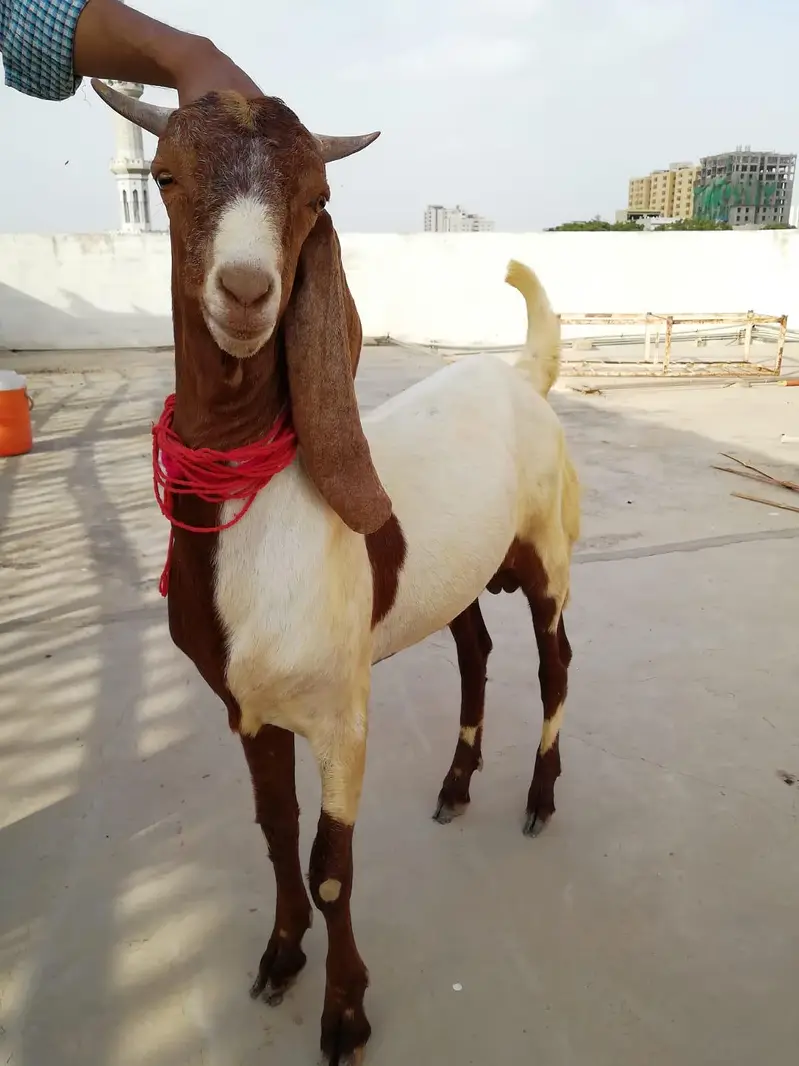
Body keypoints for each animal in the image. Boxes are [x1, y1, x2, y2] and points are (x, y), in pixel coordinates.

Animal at [93, 82, 580, 1066]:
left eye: (316, 198)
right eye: (166, 176)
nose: (246, 292)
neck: (264, 503)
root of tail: (522, 375)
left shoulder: (340, 714)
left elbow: (330, 866)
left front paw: (345, 1013)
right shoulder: (246, 708)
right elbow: (278, 838)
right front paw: (280, 960)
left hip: (546, 547)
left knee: (554, 662)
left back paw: (537, 798)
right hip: (455, 575)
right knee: (474, 650)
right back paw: (454, 786)